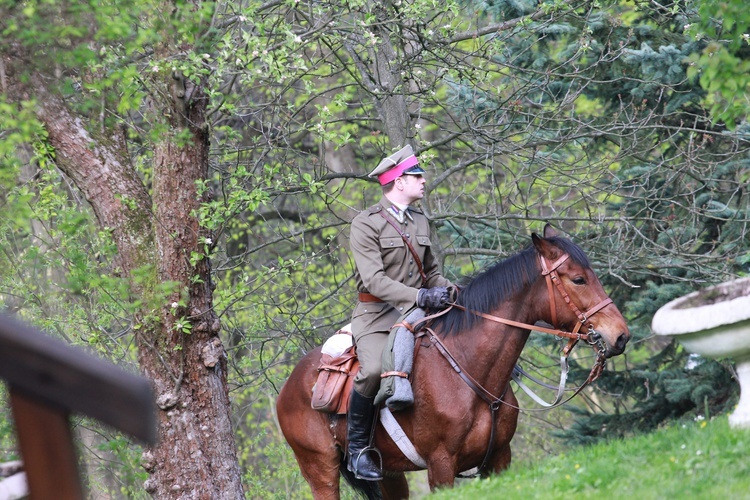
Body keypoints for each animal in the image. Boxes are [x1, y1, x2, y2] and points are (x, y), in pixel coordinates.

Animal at [276, 225, 628, 498]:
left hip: (390, 474)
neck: (468, 372)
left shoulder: (499, 459)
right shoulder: (441, 467)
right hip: (321, 470)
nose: (621, 336)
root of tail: (290, 385)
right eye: (578, 279)